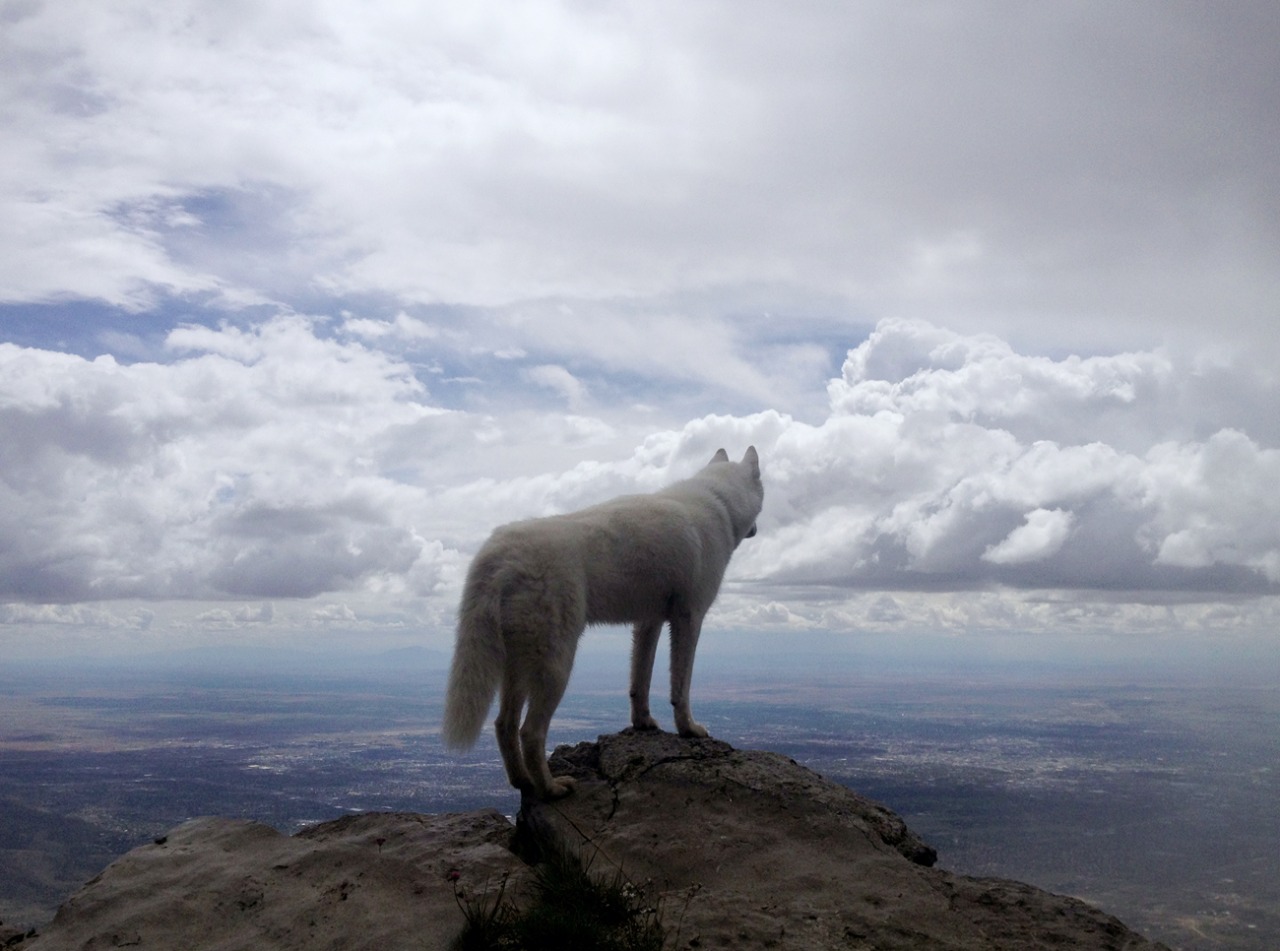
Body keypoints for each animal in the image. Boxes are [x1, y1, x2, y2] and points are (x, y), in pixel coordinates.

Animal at [445, 445, 757, 793]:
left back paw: (524, 781)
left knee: (504, 725)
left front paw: (643, 723)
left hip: (518, 666)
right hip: (556, 668)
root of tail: (499, 554)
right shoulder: (689, 619)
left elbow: (640, 682)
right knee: (530, 732)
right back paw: (552, 789)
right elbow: (681, 686)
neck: (718, 500)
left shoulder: (647, 622)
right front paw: (688, 729)